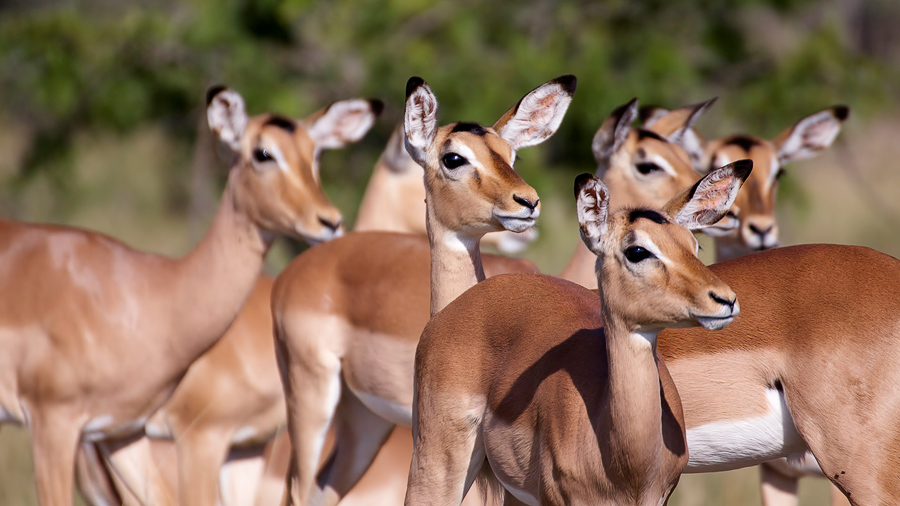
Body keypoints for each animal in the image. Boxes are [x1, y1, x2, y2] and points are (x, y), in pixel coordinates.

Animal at [0, 86, 376, 506]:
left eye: (316, 154)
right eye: (262, 153)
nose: (329, 221)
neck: (154, 297)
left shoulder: (122, 429)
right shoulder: (59, 422)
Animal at [408, 164, 744, 504]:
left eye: (694, 246)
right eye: (637, 250)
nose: (726, 299)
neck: (626, 466)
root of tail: (451, 309)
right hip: (437, 464)